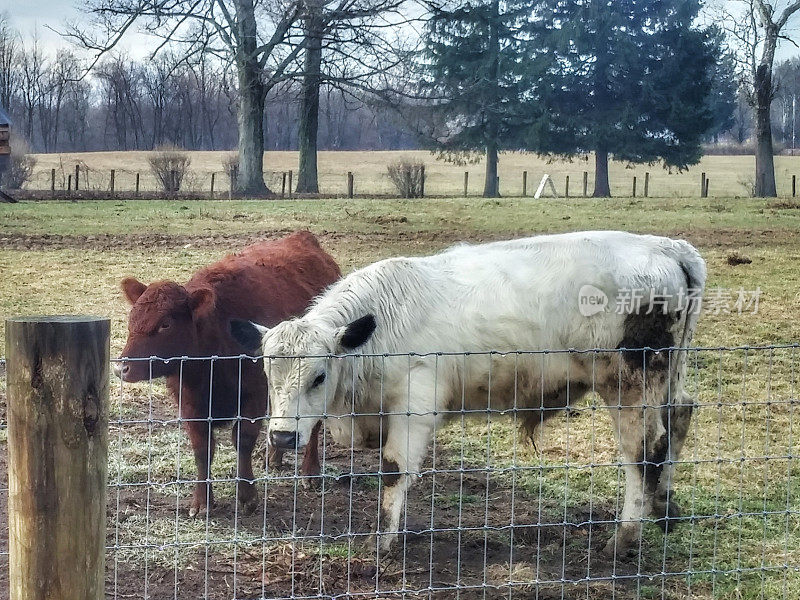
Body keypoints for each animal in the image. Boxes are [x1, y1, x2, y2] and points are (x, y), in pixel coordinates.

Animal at [114, 230, 340, 516]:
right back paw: (275, 457)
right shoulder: (190, 402)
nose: (122, 367)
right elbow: (202, 448)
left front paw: (247, 496)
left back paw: (310, 472)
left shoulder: (253, 395)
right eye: (132, 318)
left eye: (165, 324)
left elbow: (243, 440)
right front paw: (202, 502)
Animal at [231, 229, 708, 552]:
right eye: (268, 374)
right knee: (679, 418)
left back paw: (624, 539)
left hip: (631, 387)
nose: (282, 437)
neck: (385, 323)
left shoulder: (413, 409)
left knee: (644, 453)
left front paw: (381, 543)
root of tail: (667, 247)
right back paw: (663, 509)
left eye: (318, 376)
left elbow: (392, 471)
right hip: (668, 378)